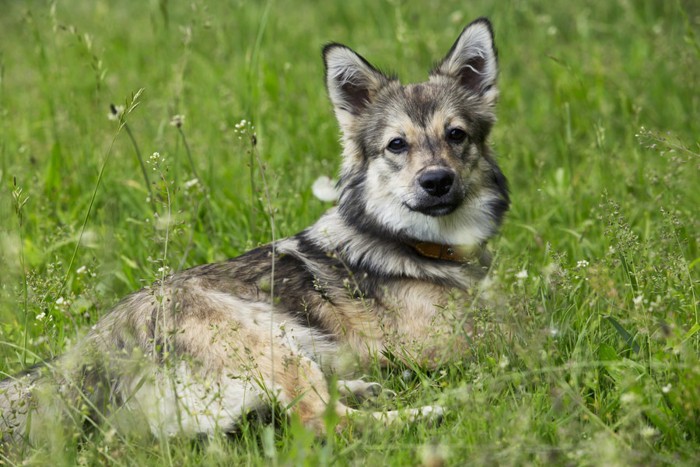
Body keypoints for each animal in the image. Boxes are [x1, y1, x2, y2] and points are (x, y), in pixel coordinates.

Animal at [0, 17, 508, 446]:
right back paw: (436, 409)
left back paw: (363, 387)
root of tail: (83, 360)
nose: (436, 181)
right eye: (396, 145)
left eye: (457, 135)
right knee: (320, 421)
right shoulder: (442, 342)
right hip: (269, 337)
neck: (416, 243)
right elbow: (523, 334)